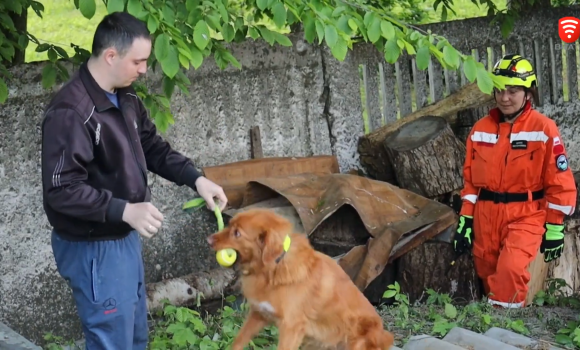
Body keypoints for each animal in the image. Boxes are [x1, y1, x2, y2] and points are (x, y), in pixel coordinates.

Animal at [205, 209, 394, 348]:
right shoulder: (259, 314)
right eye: (229, 225)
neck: (273, 268)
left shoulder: (291, 328)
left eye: (237, 233)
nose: (208, 240)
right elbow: (238, 342)